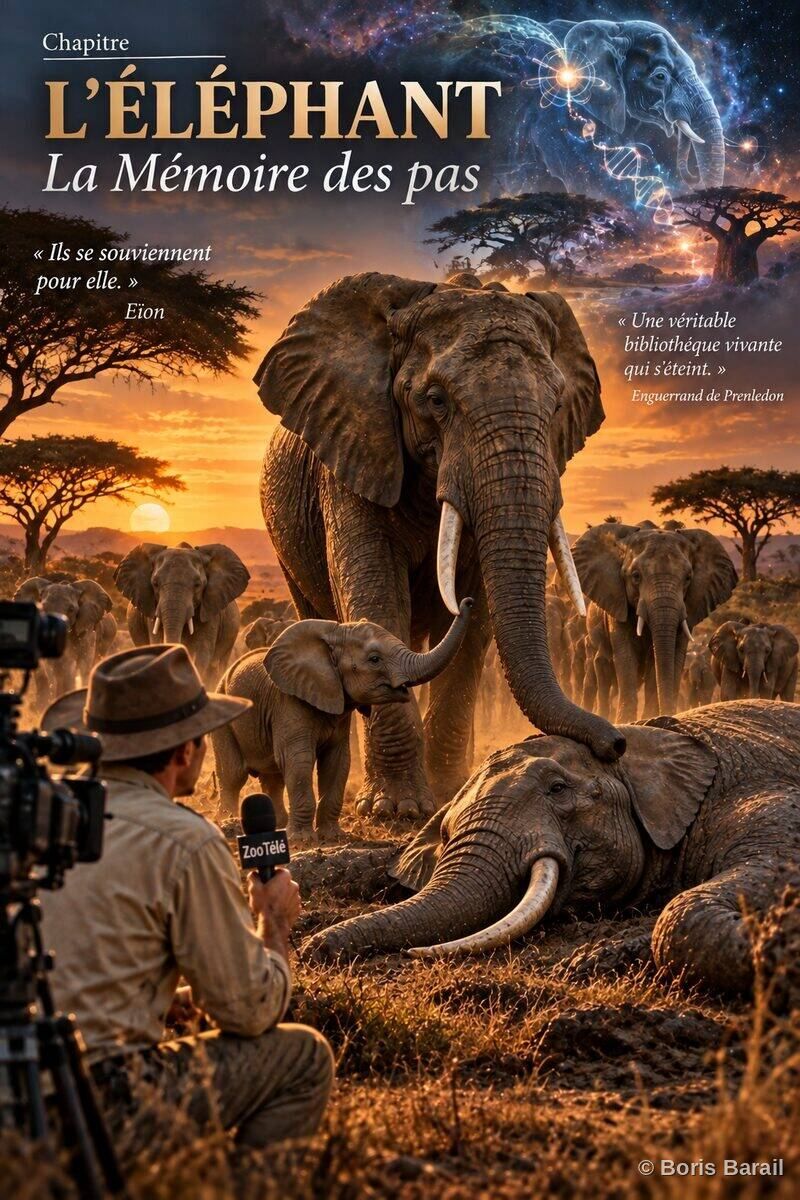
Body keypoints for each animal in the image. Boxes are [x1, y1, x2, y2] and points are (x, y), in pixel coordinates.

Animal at [212, 600, 473, 842]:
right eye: (374, 659)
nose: (467, 602)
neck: (332, 637)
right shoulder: (289, 703)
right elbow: (299, 760)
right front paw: (302, 840)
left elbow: (337, 761)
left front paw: (333, 837)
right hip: (223, 715)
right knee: (233, 775)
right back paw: (229, 821)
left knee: (272, 777)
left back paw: (278, 824)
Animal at [257, 271, 622, 821]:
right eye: (435, 400)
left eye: (557, 404)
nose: (615, 745)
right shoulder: (354, 449)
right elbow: (375, 592)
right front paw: (396, 810)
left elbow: (481, 617)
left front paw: (450, 792)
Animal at [302, 700, 800, 997]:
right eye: (444, 832)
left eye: (558, 789)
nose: (312, 950)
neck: (637, 744)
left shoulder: (759, 796)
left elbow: (767, 867)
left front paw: (781, 943)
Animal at [572, 522, 737, 721]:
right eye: (635, 576)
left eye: (688, 578)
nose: (668, 716)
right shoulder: (617, 602)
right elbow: (626, 656)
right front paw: (627, 721)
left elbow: (665, 659)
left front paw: (649, 717)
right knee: (600, 672)